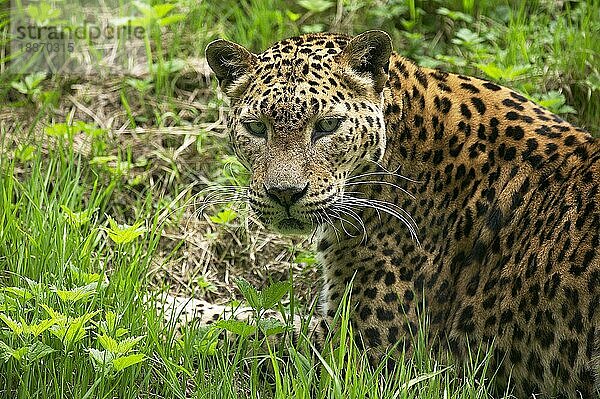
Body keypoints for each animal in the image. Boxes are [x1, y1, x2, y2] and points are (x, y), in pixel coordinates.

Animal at [161, 29, 600, 398]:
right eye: (255, 128)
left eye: (328, 126)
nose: (285, 193)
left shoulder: (358, 354)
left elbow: (246, 327)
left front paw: (162, 306)